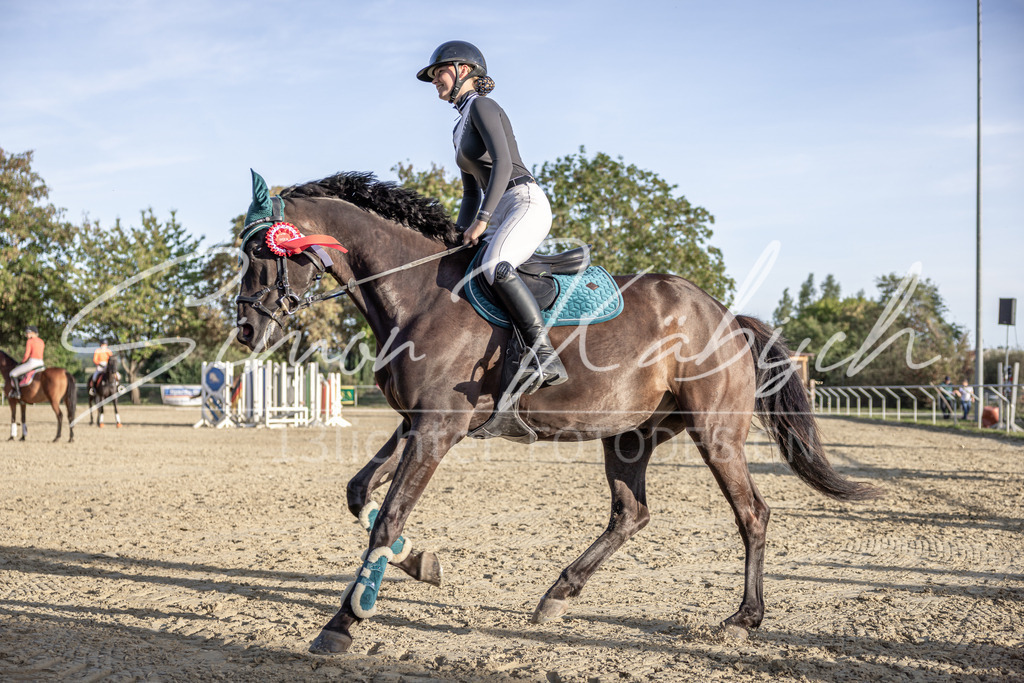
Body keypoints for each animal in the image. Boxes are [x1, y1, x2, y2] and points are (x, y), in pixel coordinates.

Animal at [233, 170, 878, 655]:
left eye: (262, 251)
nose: (246, 329)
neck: (417, 295)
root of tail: (724, 315)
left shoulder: (437, 429)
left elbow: (387, 517)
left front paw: (342, 624)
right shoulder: (417, 424)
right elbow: (359, 492)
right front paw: (420, 563)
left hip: (715, 435)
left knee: (752, 514)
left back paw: (743, 619)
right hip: (629, 437)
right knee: (630, 514)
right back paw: (557, 594)